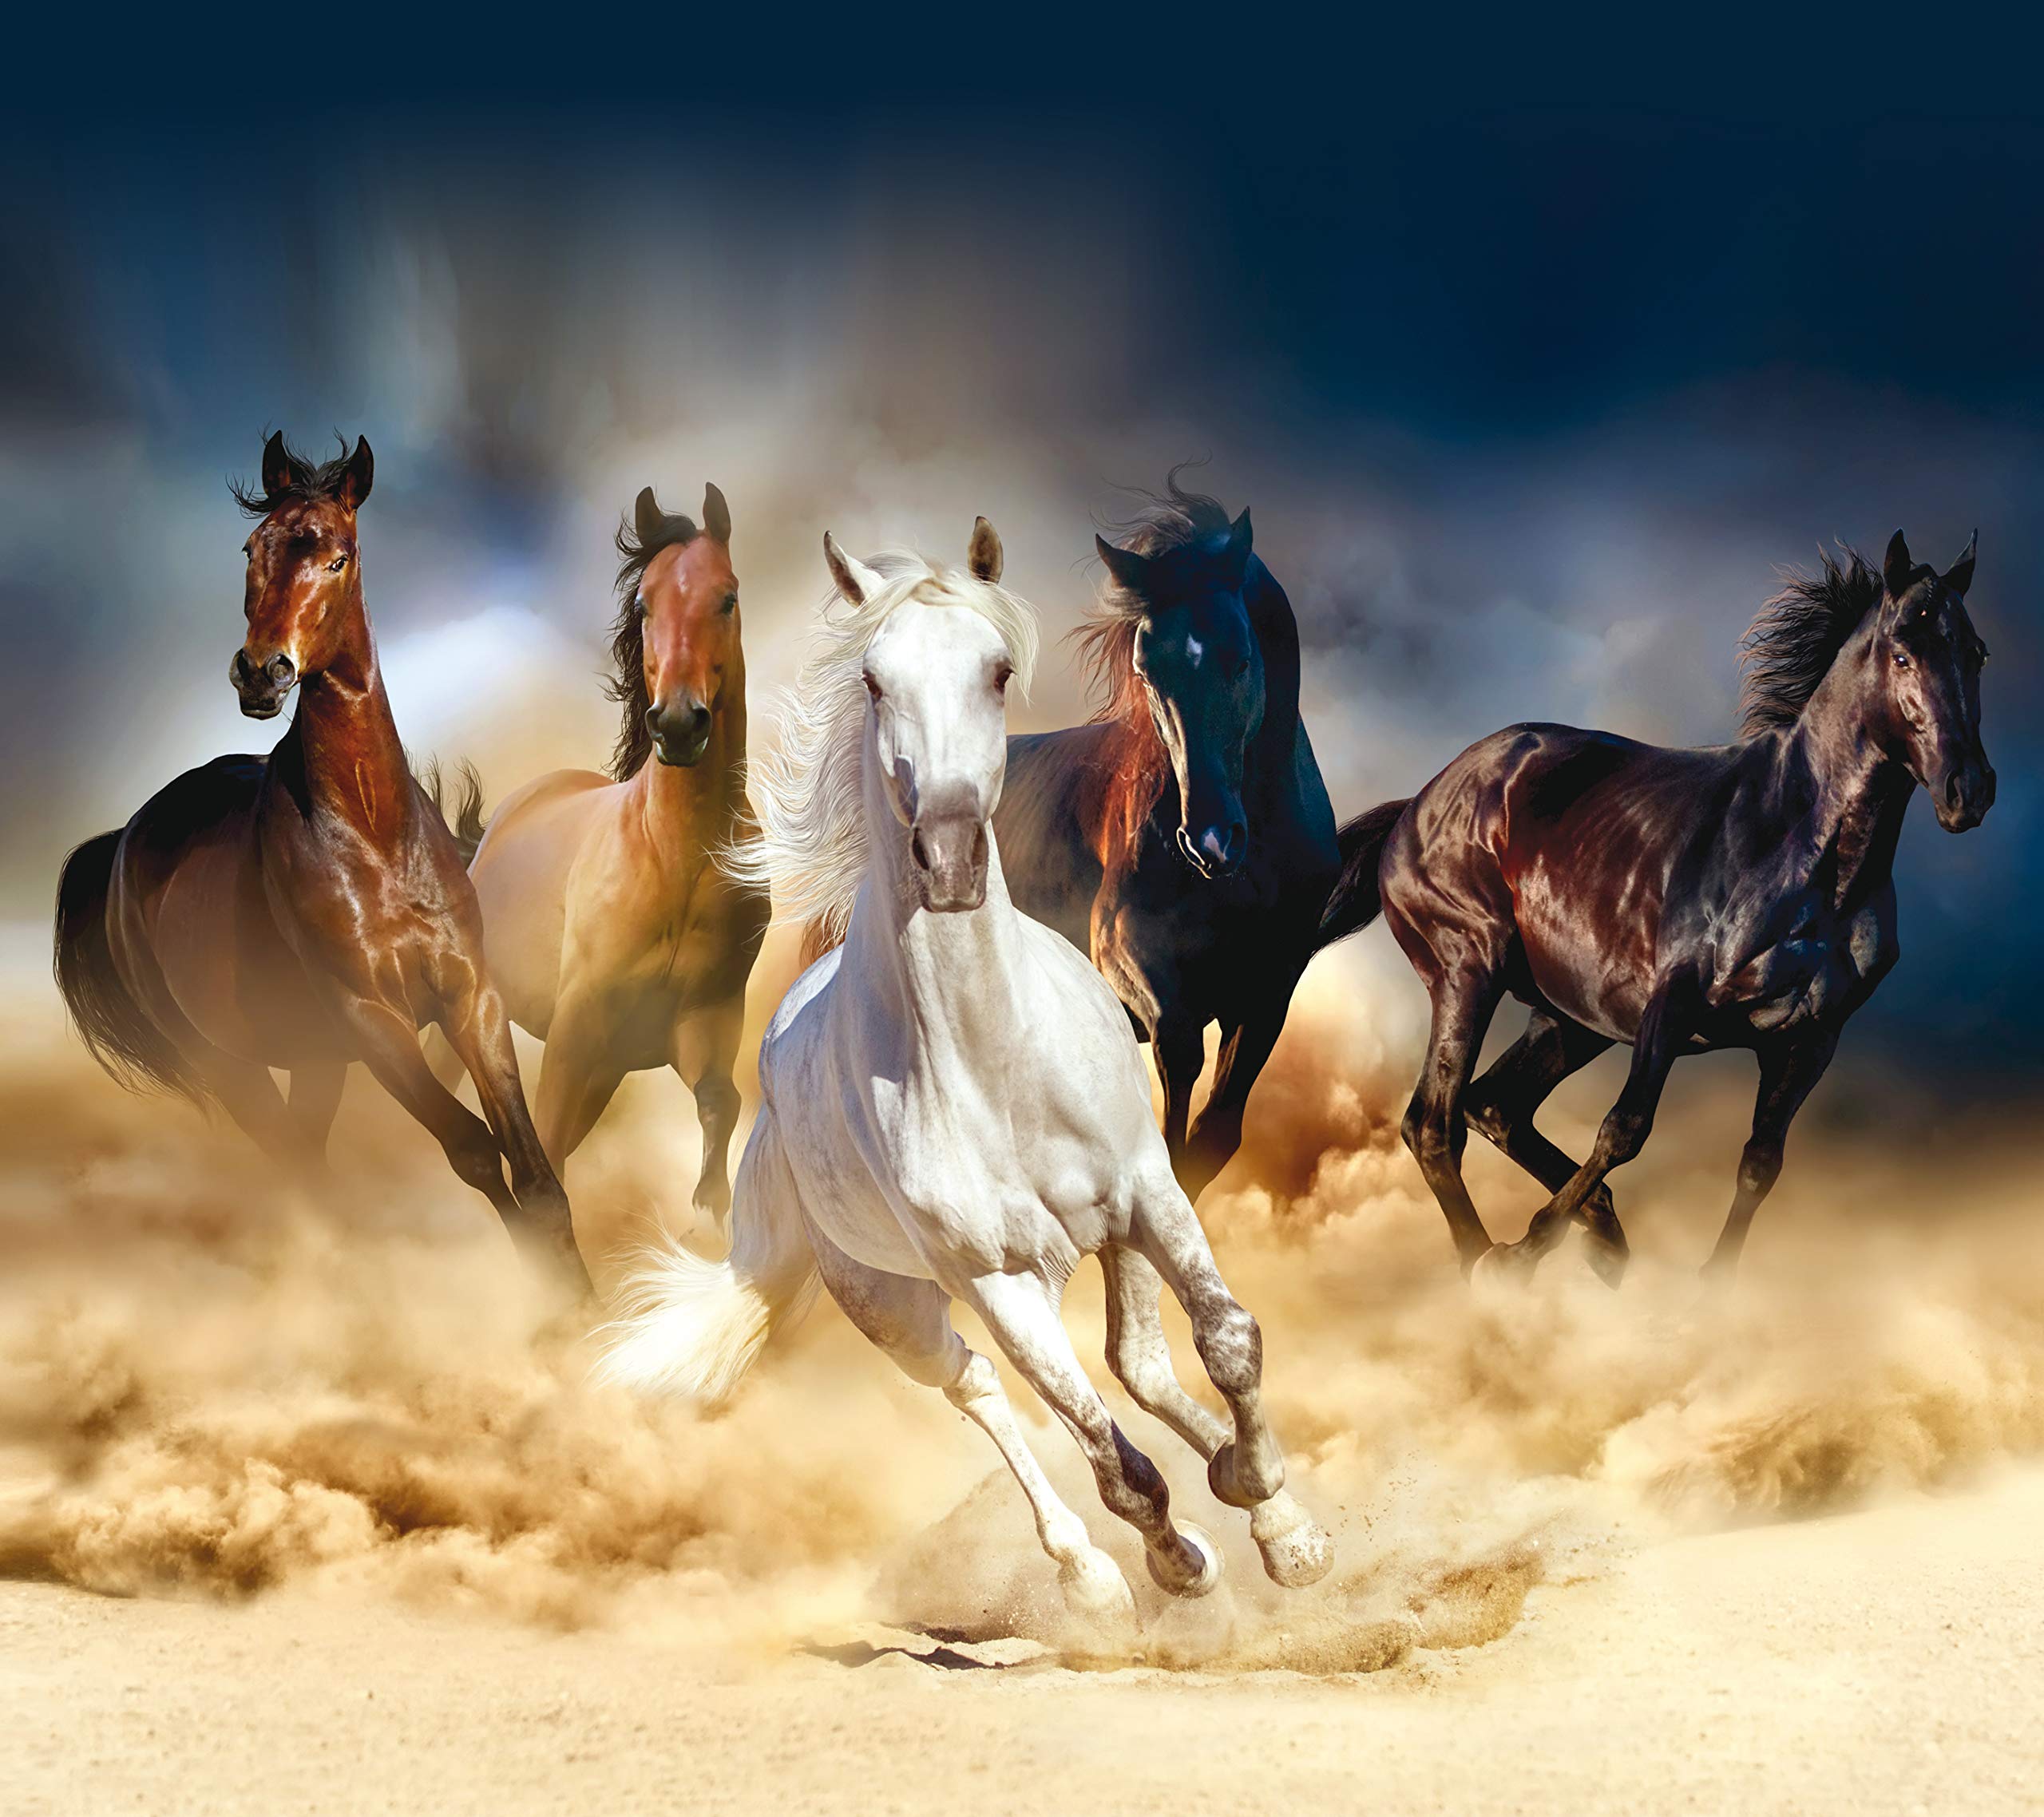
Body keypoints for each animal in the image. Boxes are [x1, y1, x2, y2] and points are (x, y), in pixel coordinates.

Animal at [52, 432, 584, 1292]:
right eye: (251, 549)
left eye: (338, 557)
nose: (260, 672)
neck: (374, 835)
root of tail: (125, 839)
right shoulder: (370, 1019)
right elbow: (473, 1151)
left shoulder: (471, 996)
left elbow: (534, 1173)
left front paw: (585, 1307)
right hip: (230, 1066)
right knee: (298, 1169)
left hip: (311, 1061)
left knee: (308, 1158)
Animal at [432, 484, 767, 1231]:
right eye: (643, 604)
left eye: (727, 597)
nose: (678, 723)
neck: (675, 862)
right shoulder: (578, 1029)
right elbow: (547, 1152)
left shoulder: (699, 1024)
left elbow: (721, 1102)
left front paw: (708, 1219)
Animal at [990, 479, 1342, 1203]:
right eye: (1148, 672)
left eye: (1242, 658)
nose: (1209, 840)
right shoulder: (1130, 961)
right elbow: (1177, 1076)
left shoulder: (1268, 992)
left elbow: (1213, 1136)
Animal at [1319, 530, 1995, 1283]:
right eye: (1903, 653)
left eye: (1976, 652)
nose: (1969, 789)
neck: (1807, 858)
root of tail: (1419, 804)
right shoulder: (1673, 1003)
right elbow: (1625, 1129)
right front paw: (1527, 1251)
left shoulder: (1811, 1038)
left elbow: (1761, 1162)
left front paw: (1708, 1287)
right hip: (1469, 971)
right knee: (1433, 1124)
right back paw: (1491, 1265)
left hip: (1568, 1017)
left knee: (1492, 1106)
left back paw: (1602, 1236)